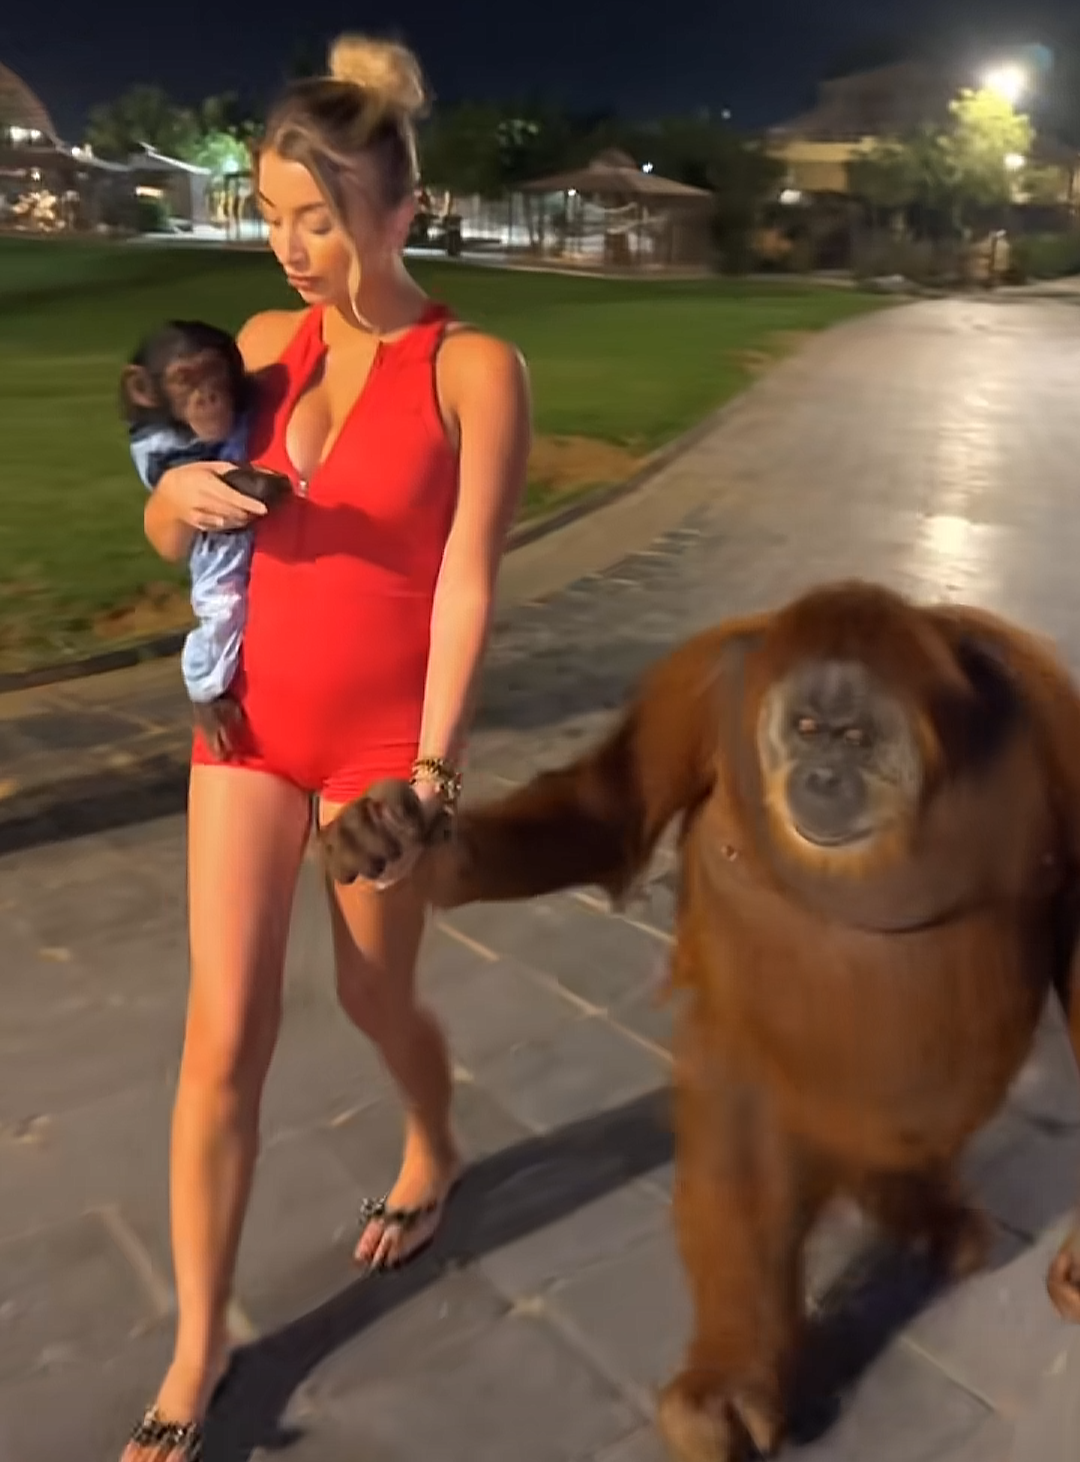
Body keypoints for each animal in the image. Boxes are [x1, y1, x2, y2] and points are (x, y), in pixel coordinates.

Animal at [121, 319, 291, 758]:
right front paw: (261, 484)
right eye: (184, 379)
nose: (208, 395)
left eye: (212, 370)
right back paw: (210, 706)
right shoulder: (160, 443)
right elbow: (197, 478)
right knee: (218, 621)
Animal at [318, 581, 1080, 1462]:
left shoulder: (1044, 705)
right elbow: (607, 814)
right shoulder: (703, 684)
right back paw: (732, 1387)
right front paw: (414, 845)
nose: (823, 777)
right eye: (806, 730)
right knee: (749, 1157)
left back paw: (923, 1221)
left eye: (858, 738)